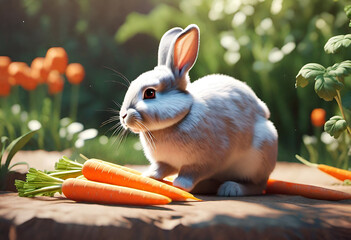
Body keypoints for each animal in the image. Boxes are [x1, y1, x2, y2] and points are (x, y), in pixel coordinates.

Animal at [119, 23, 280, 197]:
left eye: (149, 93)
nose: (123, 116)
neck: (180, 118)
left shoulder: (207, 160)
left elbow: (191, 172)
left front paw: (180, 184)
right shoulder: (166, 161)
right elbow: (161, 167)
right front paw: (149, 176)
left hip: (259, 158)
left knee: (258, 185)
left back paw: (231, 189)